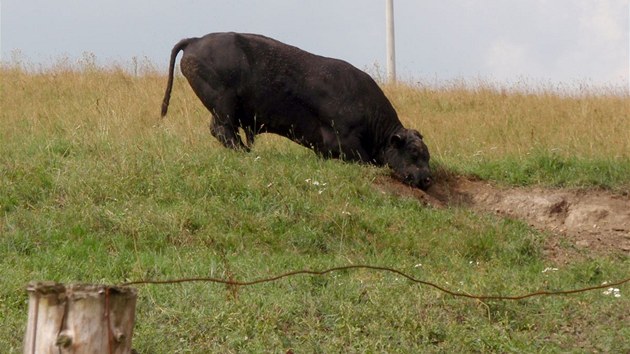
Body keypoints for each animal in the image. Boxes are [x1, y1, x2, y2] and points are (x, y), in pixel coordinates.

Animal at [160, 31, 432, 189]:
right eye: (414, 153)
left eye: (426, 155)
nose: (427, 178)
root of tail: (196, 41)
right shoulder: (345, 141)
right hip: (224, 106)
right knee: (223, 130)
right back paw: (245, 153)